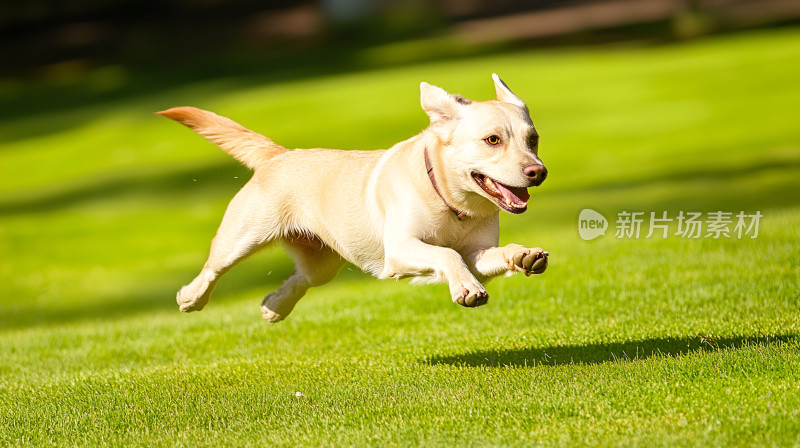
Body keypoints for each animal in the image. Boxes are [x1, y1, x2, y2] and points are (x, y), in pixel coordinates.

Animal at [159, 74, 552, 322]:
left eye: (532, 139)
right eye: (492, 140)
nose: (538, 172)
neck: (451, 203)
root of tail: (279, 155)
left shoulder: (478, 254)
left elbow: (487, 255)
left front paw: (524, 255)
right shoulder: (400, 249)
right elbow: (446, 254)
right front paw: (467, 288)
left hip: (322, 261)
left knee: (299, 279)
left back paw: (274, 307)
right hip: (242, 236)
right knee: (212, 269)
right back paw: (190, 298)